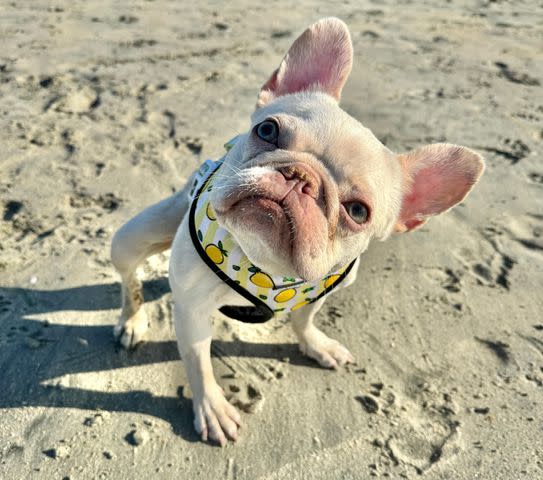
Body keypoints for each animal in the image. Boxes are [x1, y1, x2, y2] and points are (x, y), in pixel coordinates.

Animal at [109, 17, 484, 446]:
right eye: (267, 130)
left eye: (358, 211)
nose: (300, 177)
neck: (266, 266)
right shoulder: (191, 310)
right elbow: (199, 362)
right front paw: (212, 407)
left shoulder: (322, 293)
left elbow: (304, 321)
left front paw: (316, 345)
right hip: (130, 239)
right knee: (129, 281)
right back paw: (132, 321)